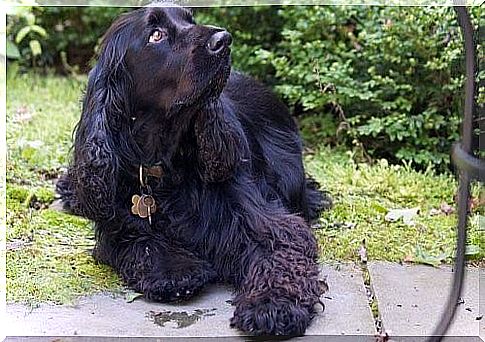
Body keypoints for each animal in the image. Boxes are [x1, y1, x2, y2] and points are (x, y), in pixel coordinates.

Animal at [55, 4, 328, 336]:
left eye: (190, 19)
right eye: (156, 35)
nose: (224, 40)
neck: (165, 164)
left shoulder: (268, 222)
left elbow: (279, 255)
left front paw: (272, 304)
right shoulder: (117, 226)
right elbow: (141, 243)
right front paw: (176, 270)